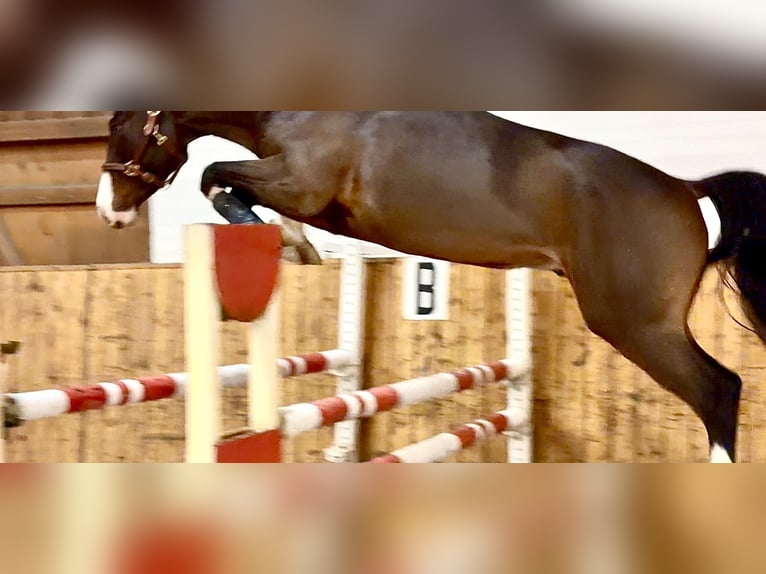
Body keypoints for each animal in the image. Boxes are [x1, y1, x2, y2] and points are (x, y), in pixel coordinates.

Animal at [97, 111, 766, 463]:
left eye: (122, 122)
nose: (109, 212)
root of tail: (684, 188)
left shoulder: (300, 183)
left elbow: (216, 176)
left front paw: (277, 234)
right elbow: (235, 187)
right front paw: (293, 243)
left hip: (634, 324)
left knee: (718, 390)